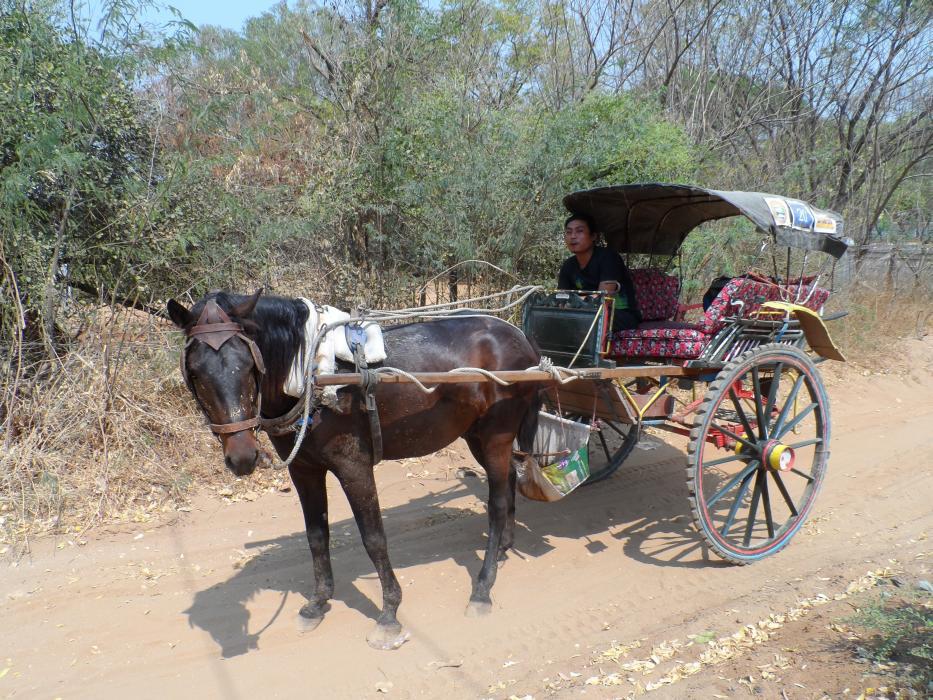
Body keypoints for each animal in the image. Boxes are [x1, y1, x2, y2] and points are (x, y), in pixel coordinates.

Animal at [167, 289, 543, 649]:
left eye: (248, 365)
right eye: (195, 373)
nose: (243, 456)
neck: (313, 374)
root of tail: (521, 337)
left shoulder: (353, 466)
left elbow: (373, 537)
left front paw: (389, 613)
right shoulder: (303, 470)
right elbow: (316, 537)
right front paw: (318, 604)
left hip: (496, 434)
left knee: (496, 503)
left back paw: (482, 588)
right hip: (475, 435)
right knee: (509, 479)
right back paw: (505, 546)